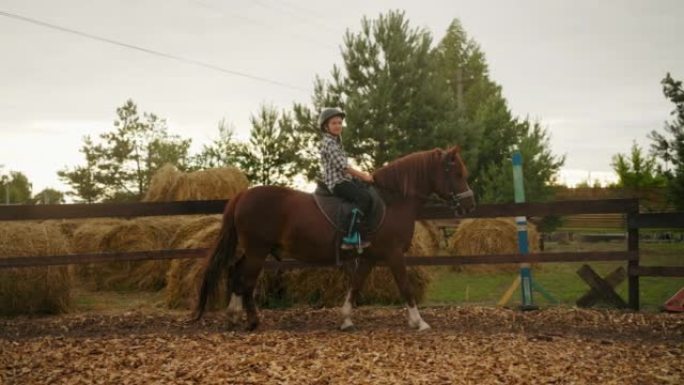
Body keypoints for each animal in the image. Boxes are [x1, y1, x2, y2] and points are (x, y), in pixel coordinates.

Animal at [194, 145, 476, 330]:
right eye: (457, 174)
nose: (469, 205)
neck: (392, 201)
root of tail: (243, 195)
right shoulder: (394, 255)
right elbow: (405, 286)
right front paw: (419, 322)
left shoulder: (370, 257)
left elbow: (355, 286)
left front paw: (346, 319)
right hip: (257, 250)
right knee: (246, 280)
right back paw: (251, 321)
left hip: (255, 250)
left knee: (236, 273)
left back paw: (233, 317)